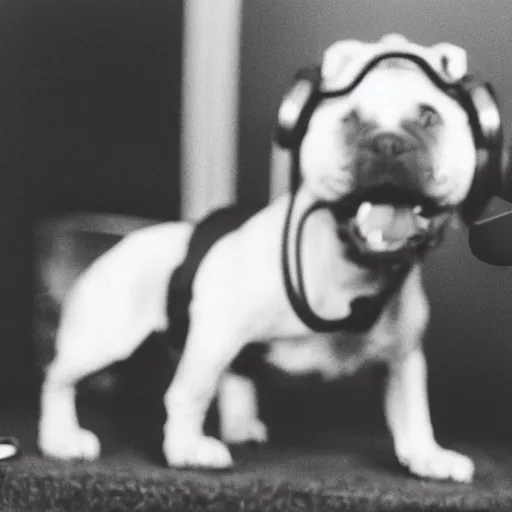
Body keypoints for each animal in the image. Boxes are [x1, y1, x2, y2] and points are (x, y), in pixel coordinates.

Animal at [38, 34, 502, 482]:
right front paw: (186, 448)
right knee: (58, 377)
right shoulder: (215, 335)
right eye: (351, 121)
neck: (352, 270)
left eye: (429, 119)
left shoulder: (403, 359)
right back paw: (60, 437)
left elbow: (413, 412)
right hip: (104, 340)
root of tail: (121, 244)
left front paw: (426, 456)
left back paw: (241, 427)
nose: (388, 143)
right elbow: (190, 392)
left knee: (236, 377)